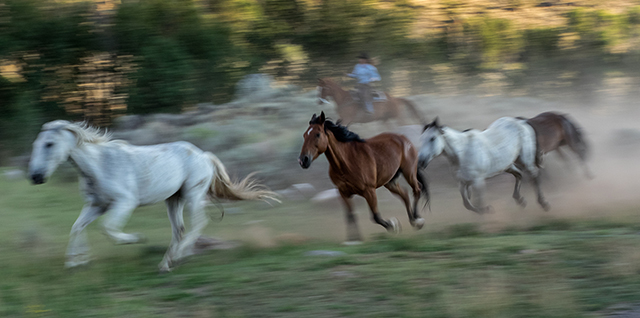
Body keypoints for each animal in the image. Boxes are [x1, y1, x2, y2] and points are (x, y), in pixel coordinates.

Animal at [27, 120, 278, 272]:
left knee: (198, 223)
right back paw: (166, 263)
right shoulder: (96, 206)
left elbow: (108, 229)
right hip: (174, 200)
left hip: (193, 195)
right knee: (180, 230)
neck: (100, 166)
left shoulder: (124, 203)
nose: (35, 176)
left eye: (49, 144)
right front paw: (76, 262)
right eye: (36, 144)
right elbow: (77, 227)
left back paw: (179, 255)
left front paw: (137, 238)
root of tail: (203, 155)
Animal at [298, 110, 430, 242]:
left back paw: (418, 220)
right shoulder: (343, 192)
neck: (347, 162)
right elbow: (350, 216)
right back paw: (413, 220)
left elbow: (375, 217)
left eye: (317, 134)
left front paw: (393, 225)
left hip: (409, 173)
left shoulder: (369, 190)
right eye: (304, 135)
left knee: (417, 189)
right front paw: (354, 239)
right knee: (405, 194)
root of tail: (403, 139)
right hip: (390, 182)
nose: (303, 160)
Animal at [418, 117, 548, 214]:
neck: (461, 153)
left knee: (534, 175)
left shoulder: (478, 181)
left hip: (525, 160)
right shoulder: (462, 183)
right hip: (507, 165)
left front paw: (487, 213)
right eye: (422, 138)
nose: (420, 161)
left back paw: (543, 203)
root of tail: (521, 123)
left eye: (432, 138)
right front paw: (485, 211)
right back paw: (521, 200)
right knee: (519, 174)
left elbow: (479, 202)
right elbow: (467, 204)